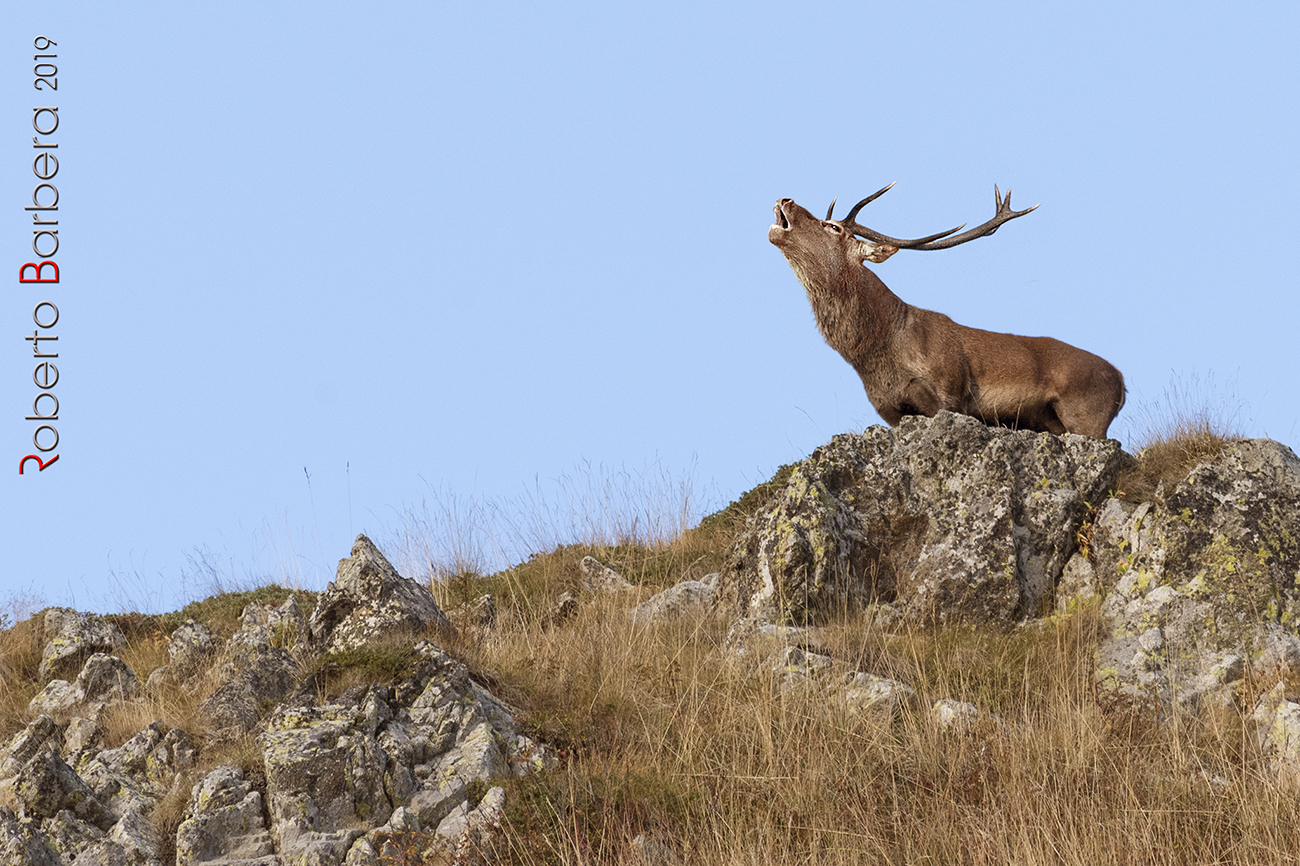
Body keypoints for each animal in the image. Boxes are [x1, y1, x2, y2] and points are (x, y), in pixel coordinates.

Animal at [769, 183, 1125, 438]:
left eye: (834, 228)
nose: (785, 199)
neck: (877, 353)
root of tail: (1122, 382)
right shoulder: (890, 410)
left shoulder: (950, 393)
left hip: (1087, 416)